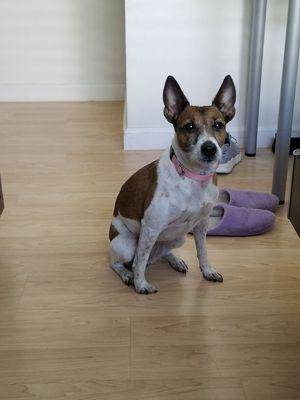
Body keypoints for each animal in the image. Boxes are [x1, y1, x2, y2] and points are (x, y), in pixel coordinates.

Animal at [109, 75, 236, 294]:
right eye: (189, 126)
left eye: (219, 125)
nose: (209, 148)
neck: (193, 178)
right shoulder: (150, 227)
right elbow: (139, 263)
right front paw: (141, 284)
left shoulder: (202, 225)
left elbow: (203, 251)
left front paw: (207, 271)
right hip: (128, 244)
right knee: (121, 262)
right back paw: (127, 275)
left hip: (178, 237)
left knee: (159, 254)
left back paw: (175, 260)